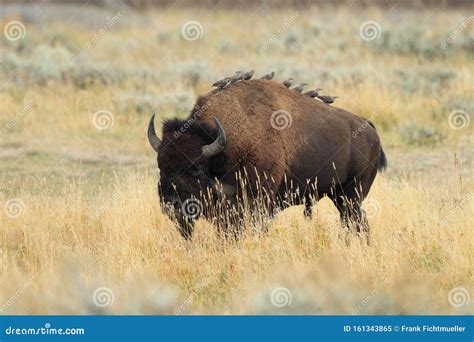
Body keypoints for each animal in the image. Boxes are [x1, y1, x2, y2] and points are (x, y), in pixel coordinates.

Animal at [147, 79, 386, 242]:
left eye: (196, 168)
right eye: (160, 166)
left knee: (355, 221)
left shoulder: (259, 202)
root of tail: (369, 127)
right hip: (339, 195)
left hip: (352, 194)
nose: (170, 203)